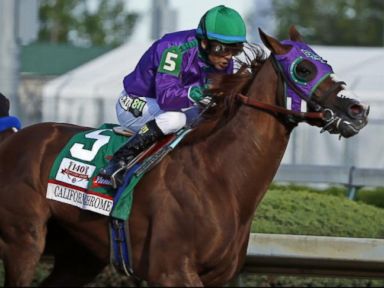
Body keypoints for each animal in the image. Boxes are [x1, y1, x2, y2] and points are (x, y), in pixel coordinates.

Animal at [0, 27, 368, 286]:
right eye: (304, 69)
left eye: (326, 64)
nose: (357, 110)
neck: (218, 178)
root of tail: (12, 138)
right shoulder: (172, 271)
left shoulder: (216, 277)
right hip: (23, 241)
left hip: (79, 254)